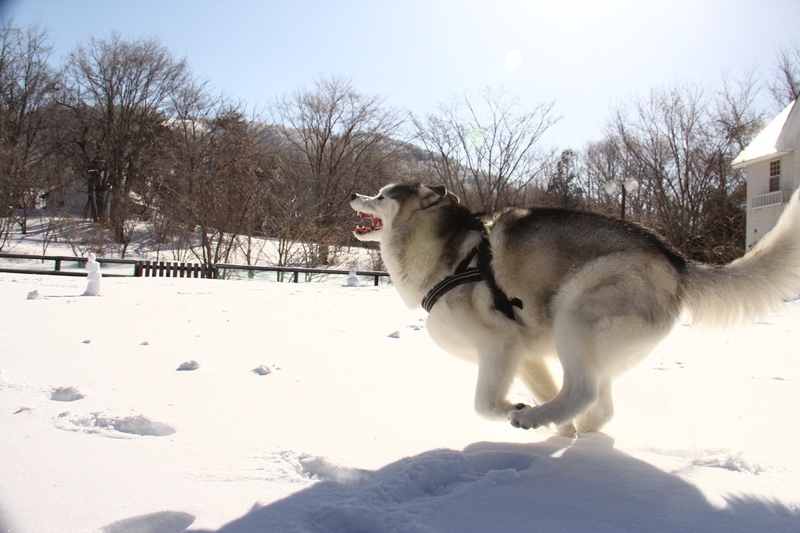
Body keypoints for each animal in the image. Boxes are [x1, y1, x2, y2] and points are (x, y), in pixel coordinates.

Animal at [350, 185, 800, 434]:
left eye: (381, 196)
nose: (352, 194)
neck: (450, 257)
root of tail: (675, 259)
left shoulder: (499, 345)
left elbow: (484, 405)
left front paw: (518, 410)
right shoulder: (523, 355)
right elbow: (542, 391)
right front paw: (560, 432)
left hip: (575, 313)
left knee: (583, 391)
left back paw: (531, 420)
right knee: (598, 403)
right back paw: (574, 430)